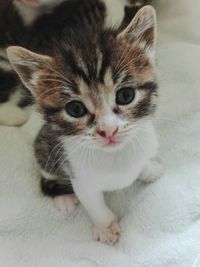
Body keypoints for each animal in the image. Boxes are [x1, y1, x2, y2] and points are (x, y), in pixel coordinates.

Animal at [7, 1, 162, 245]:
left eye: (125, 95)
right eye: (75, 109)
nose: (108, 130)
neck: (117, 157)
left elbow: (143, 163)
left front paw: (149, 169)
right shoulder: (80, 178)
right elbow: (94, 204)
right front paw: (106, 227)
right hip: (45, 150)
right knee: (46, 175)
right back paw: (64, 199)